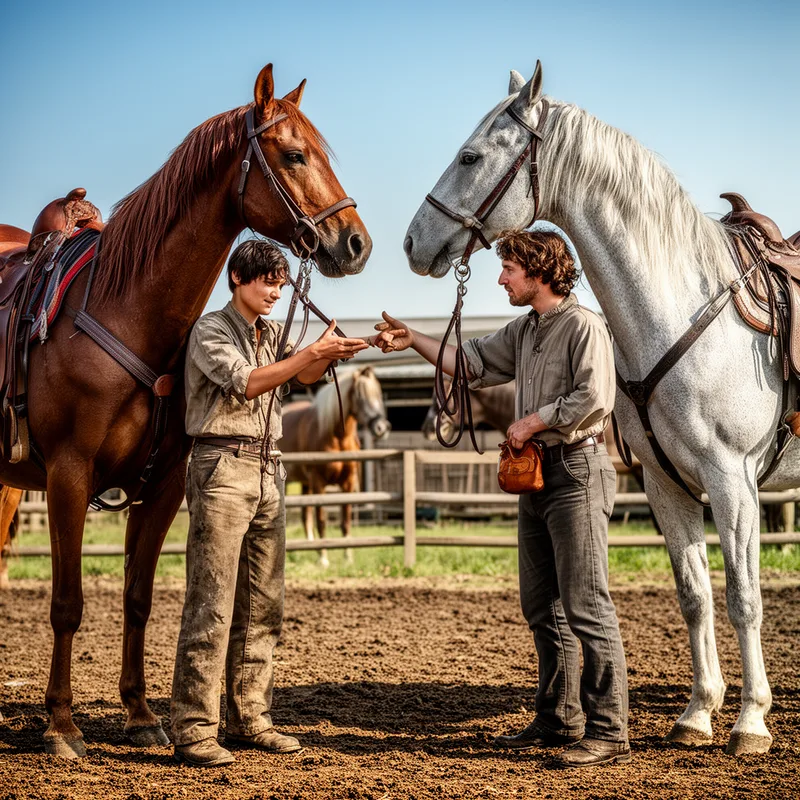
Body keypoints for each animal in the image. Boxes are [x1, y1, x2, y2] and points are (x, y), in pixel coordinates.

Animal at [0, 63, 371, 758]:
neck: (124, 309)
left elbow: (139, 599)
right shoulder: (68, 476)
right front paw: (61, 726)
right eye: (293, 154)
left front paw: (142, 715)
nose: (356, 242)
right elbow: (67, 602)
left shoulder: (165, 485)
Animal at [280, 366, 390, 566]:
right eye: (360, 395)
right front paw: (323, 557)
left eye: (378, 394)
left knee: (306, 515)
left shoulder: (347, 483)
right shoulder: (319, 483)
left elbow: (345, 522)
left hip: (306, 484)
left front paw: (348, 557)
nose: (381, 428)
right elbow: (322, 520)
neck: (337, 437)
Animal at [403, 61, 797, 755]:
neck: (682, 312)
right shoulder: (667, 484)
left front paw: (751, 721)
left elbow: (744, 598)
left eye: (471, 155)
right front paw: (698, 713)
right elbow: (694, 595)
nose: (412, 241)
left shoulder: (734, 483)